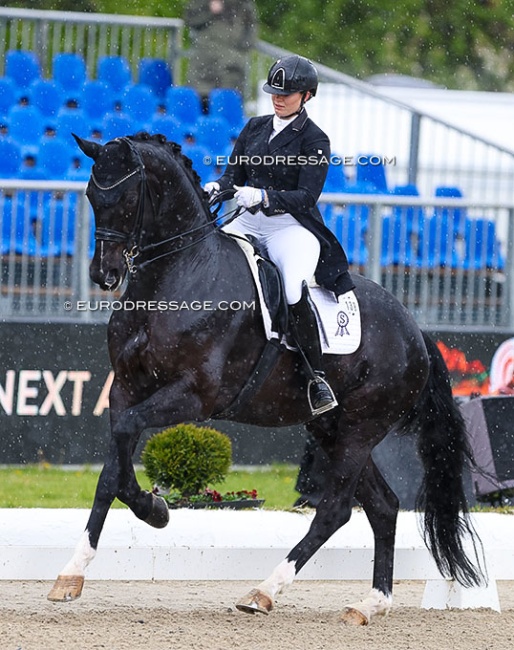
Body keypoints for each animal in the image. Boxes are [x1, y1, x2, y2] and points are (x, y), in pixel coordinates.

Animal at [47, 133, 480, 624]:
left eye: (127, 197)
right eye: (91, 196)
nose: (105, 275)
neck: (176, 276)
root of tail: (416, 332)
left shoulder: (193, 396)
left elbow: (123, 443)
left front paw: (153, 510)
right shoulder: (125, 389)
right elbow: (112, 472)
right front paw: (76, 569)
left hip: (361, 428)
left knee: (335, 509)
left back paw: (264, 591)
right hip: (332, 428)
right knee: (383, 507)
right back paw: (370, 603)